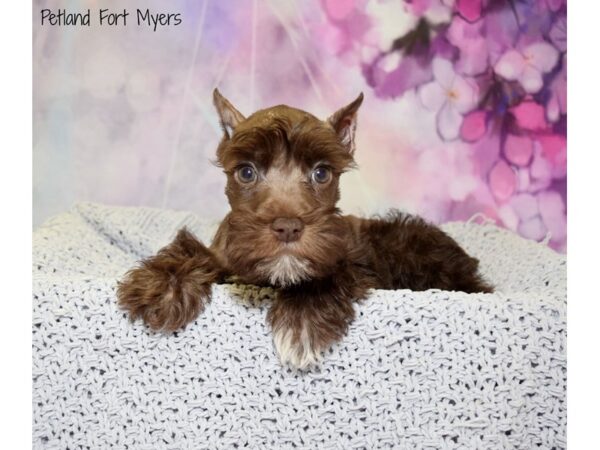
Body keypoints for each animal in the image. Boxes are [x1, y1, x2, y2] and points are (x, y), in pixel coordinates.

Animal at [118, 90, 492, 370]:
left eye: (321, 173)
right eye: (246, 172)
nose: (288, 227)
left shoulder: (352, 260)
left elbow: (327, 274)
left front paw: (302, 319)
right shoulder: (224, 252)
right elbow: (191, 249)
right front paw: (159, 285)